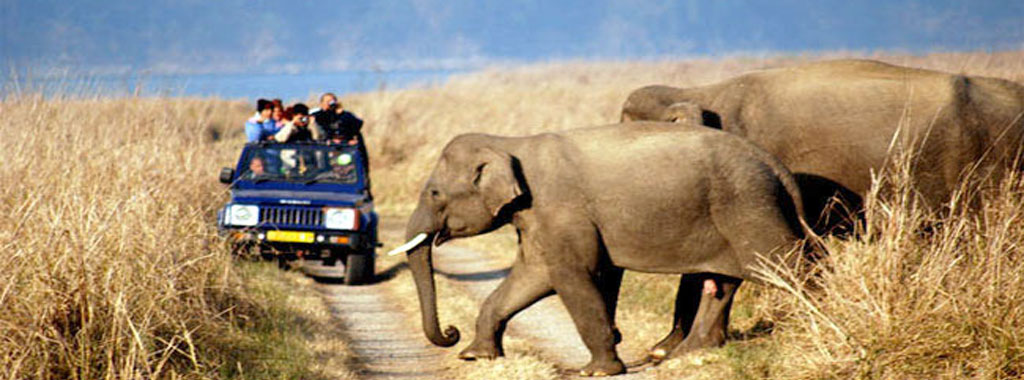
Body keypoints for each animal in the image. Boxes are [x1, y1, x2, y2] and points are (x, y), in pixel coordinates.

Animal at [389, 122, 806, 378]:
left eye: (434, 193)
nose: (451, 331)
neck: (510, 143)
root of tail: (774, 164)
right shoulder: (537, 217)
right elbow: (533, 275)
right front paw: (476, 355)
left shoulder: (561, 211)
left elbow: (569, 276)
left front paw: (598, 370)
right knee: (722, 281)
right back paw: (689, 354)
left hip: (748, 205)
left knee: (788, 269)